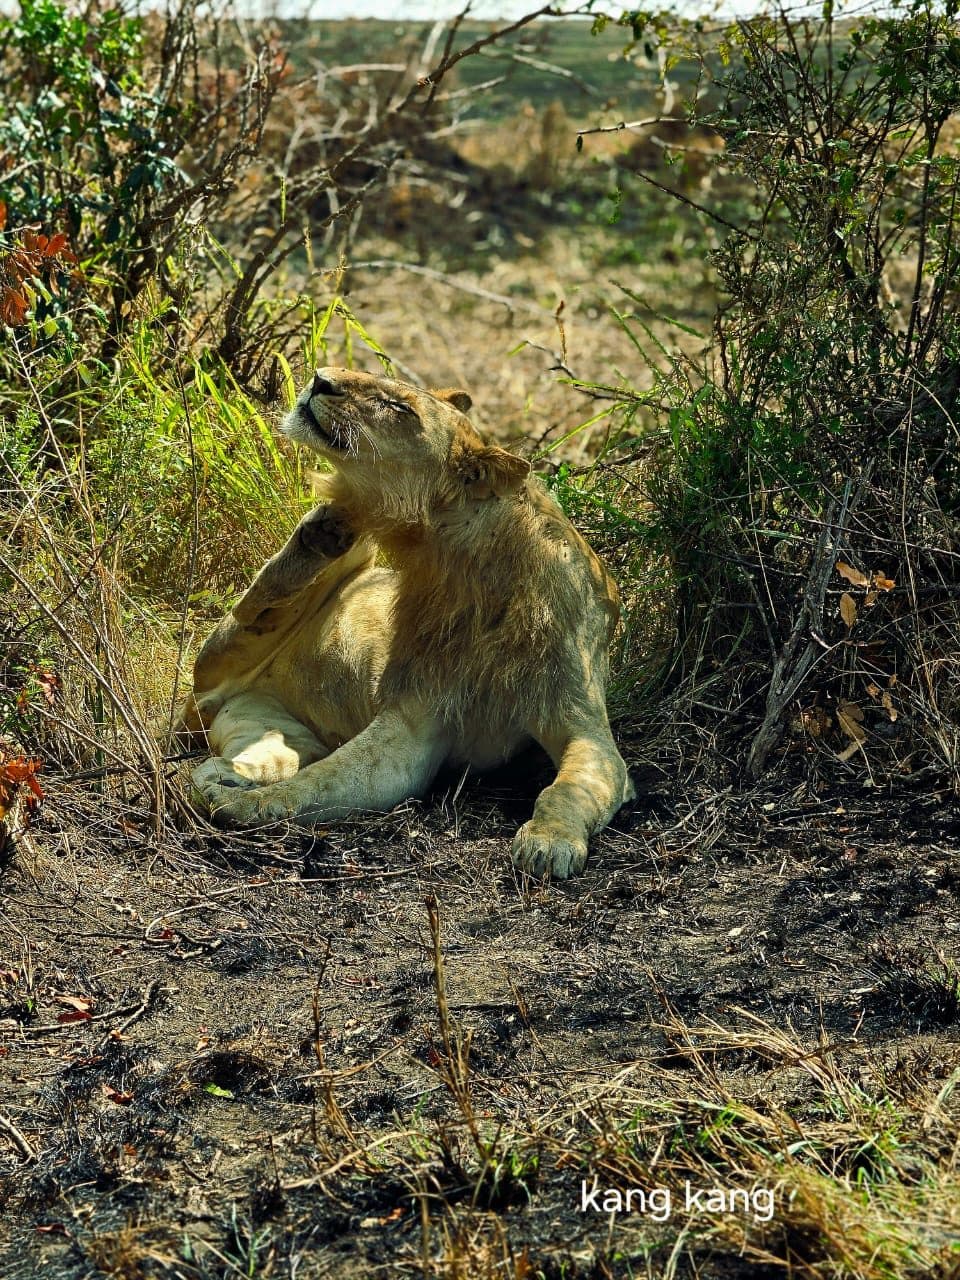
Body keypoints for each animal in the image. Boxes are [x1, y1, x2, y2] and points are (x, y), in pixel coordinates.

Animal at [176, 367, 634, 878]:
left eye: (399, 408)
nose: (319, 379)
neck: (470, 571)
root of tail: (207, 707)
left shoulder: (581, 723)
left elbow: (569, 789)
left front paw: (549, 842)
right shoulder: (415, 713)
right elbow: (321, 783)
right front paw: (247, 806)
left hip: (271, 730)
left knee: (264, 756)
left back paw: (228, 775)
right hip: (246, 642)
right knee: (254, 609)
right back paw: (321, 535)